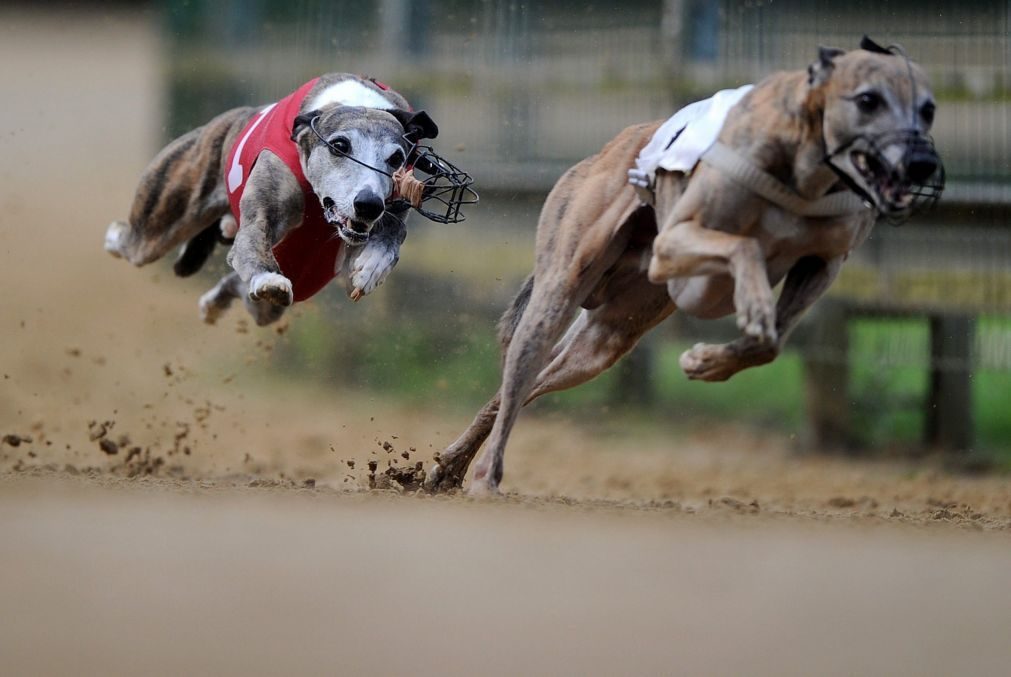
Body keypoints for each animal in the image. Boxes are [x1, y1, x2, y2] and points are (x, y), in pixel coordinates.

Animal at [104, 73, 440, 325]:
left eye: (396, 158)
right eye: (340, 145)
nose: (369, 205)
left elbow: (394, 231)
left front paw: (372, 266)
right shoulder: (261, 217)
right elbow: (254, 244)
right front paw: (268, 278)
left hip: (293, 284)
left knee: (241, 288)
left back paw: (213, 304)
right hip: (161, 223)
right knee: (136, 242)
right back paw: (114, 237)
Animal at [428, 38, 946, 493]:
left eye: (928, 109)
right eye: (868, 100)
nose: (920, 164)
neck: (807, 172)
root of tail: (608, 150)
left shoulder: (823, 265)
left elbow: (770, 343)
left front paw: (709, 361)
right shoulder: (674, 241)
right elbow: (746, 248)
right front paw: (751, 304)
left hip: (604, 340)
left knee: (523, 390)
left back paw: (452, 469)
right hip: (559, 292)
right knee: (517, 379)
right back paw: (477, 477)